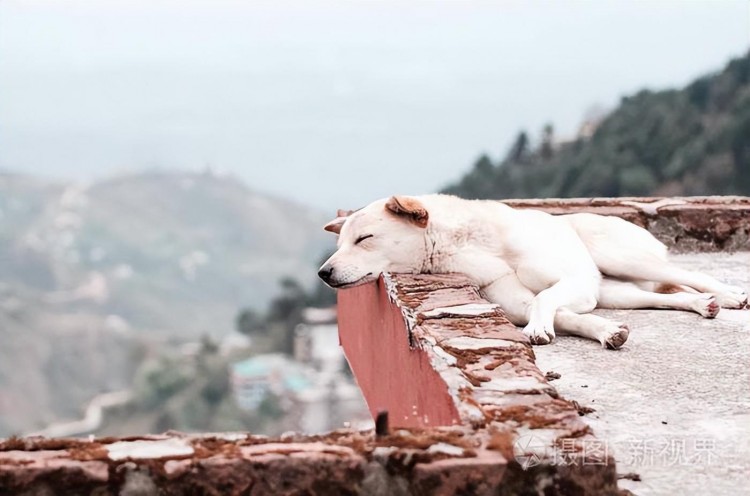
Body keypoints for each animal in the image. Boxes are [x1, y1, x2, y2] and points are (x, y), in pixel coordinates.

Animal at [318, 195, 750, 348]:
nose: (323, 272)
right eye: (340, 244)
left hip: (620, 257)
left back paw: (728, 294)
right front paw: (604, 330)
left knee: (686, 274)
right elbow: (566, 315)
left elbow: (547, 297)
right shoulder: (522, 302)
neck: (471, 244)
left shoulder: (575, 282)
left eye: (364, 239)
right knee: (665, 296)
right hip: (616, 291)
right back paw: (702, 305)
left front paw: (543, 327)